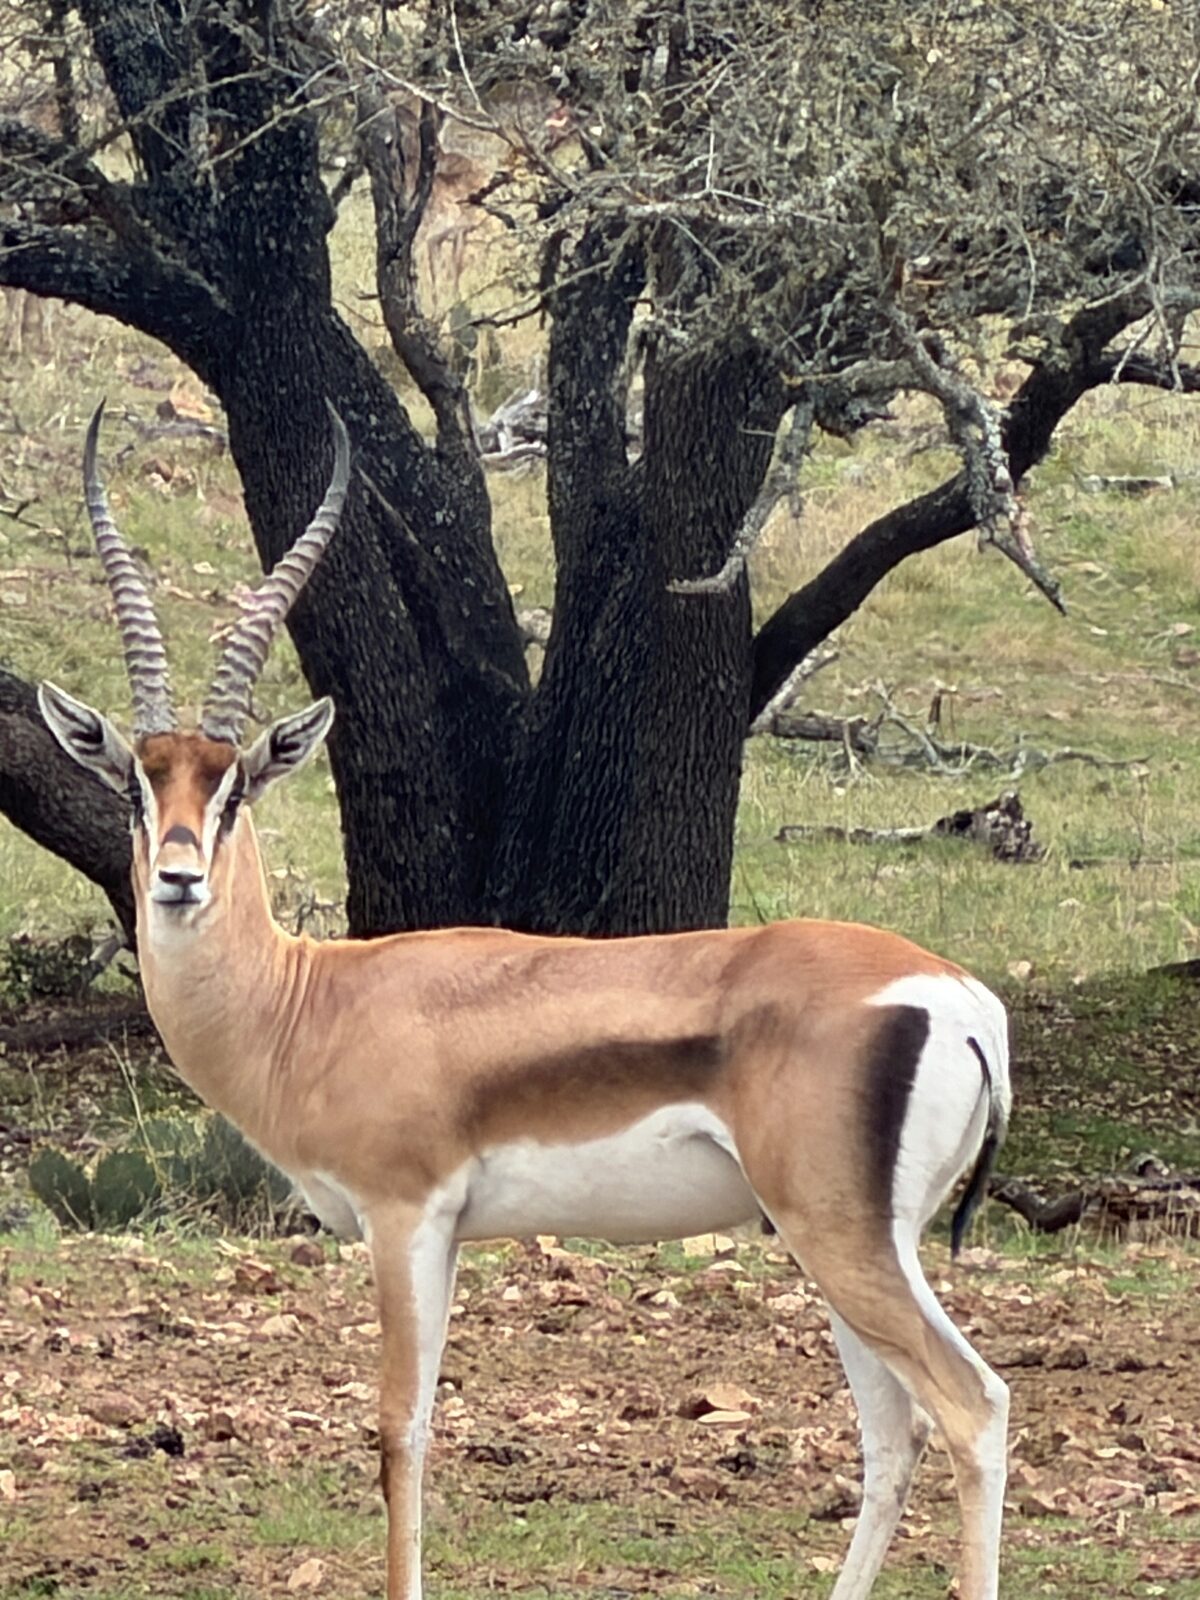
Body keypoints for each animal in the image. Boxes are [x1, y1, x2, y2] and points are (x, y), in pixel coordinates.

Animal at [40, 403, 1013, 1600]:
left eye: (235, 786)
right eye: (138, 782)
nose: (178, 879)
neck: (312, 1005)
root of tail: (962, 1000)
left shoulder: (404, 1217)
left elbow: (400, 1429)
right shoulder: (446, 1233)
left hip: (843, 1240)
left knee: (970, 1407)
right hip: (855, 1245)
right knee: (894, 1431)